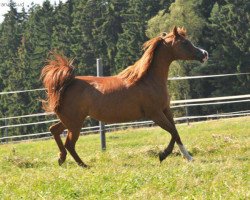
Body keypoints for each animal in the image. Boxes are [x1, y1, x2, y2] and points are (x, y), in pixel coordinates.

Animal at [41, 26, 208, 167]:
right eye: (185, 42)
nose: (204, 54)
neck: (147, 80)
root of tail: (66, 84)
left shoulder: (166, 110)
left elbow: (176, 133)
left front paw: (189, 157)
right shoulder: (155, 114)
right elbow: (172, 132)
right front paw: (163, 155)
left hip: (71, 120)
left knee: (54, 130)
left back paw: (61, 158)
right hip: (75, 123)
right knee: (69, 143)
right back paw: (83, 165)